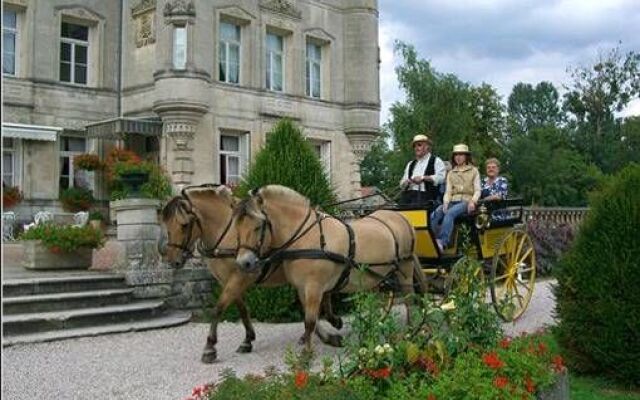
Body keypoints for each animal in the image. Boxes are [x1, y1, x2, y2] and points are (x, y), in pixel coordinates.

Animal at [158, 184, 342, 362]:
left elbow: (218, 308)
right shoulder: (229, 280)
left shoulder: (240, 277)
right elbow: (242, 309)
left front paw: (210, 347)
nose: (173, 260)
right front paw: (247, 339)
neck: (227, 234)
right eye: (167, 225)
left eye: (184, 225)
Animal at [232, 184, 428, 350]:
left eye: (258, 226)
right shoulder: (303, 287)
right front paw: (332, 331)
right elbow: (312, 316)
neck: (308, 237)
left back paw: (412, 332)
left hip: (405, 268)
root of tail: (400, 217)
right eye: (236, 227)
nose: (244, 262)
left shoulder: (314, 287)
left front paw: (307, 355)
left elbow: (310, 320)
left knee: (409, 299)